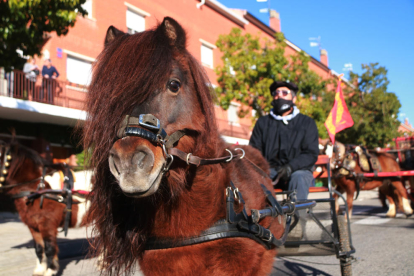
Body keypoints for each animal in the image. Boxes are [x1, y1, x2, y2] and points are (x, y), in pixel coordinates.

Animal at [0, 142, 90, 276]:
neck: (38, 188)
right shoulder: (33, 226)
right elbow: (39, 248)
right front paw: (40, 269)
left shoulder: (47, 224)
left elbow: (49, 249)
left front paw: (50, 270)